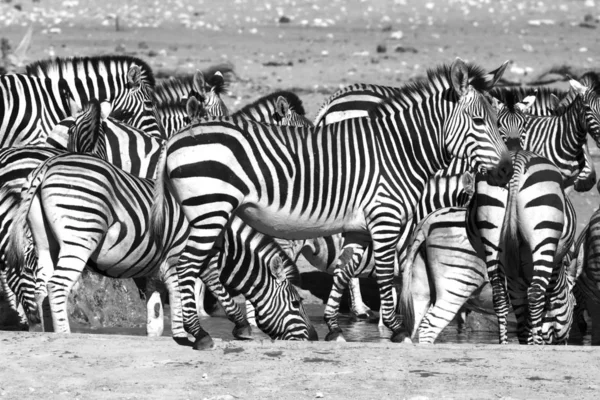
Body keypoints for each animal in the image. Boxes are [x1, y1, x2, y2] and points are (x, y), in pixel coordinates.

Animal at [7, 152, 316, 344]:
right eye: (297, 303)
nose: (314, 338)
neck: (224, 241)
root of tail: (48, 165)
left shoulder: (154, 273)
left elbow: (156, 320)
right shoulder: (183, 262)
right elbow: (201, 295)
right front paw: (227, 330)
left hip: (46, 243)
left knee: (41, 286)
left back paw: (40, 329)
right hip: (80, 235)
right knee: (58, 285)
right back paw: (63, 334)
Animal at [152, 58, 512, 346]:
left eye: (496, 121)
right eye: (480, 122)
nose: (506, 170)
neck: (400, 149)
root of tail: (173, 140)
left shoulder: (358, 226)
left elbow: (343, 269)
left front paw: (334, 327)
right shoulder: (385, 216)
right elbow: (384, 273)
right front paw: (395, 330)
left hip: (207, 213)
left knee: (201, 266)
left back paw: (214, 327)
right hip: (211, 209)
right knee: (188, 266)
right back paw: (200, 335)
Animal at [466, 152, 580, 346]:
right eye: (574, 305)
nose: (564, 342)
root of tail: (518, 158)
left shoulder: (514, 277)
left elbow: (521, 313)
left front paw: (525, 340)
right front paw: (533, 340)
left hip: (492, 234)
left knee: (499, 295)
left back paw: (503, 343)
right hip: (543, 231)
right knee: (535, 293)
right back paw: (537, 344)